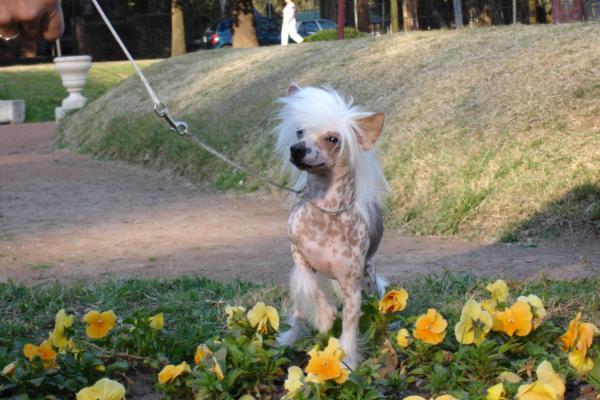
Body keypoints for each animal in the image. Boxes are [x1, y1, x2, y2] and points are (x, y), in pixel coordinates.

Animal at [276, 84, 390, 368]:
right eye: (300, 131)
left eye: (333, 139)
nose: (297, 149)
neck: (326, 213)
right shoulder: (299, 257)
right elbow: (310, 288)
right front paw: (324, 317)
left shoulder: (352, 287)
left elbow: (349, 327)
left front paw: (347, 361)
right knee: (298, 311)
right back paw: (291, 337)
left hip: (367, 279)